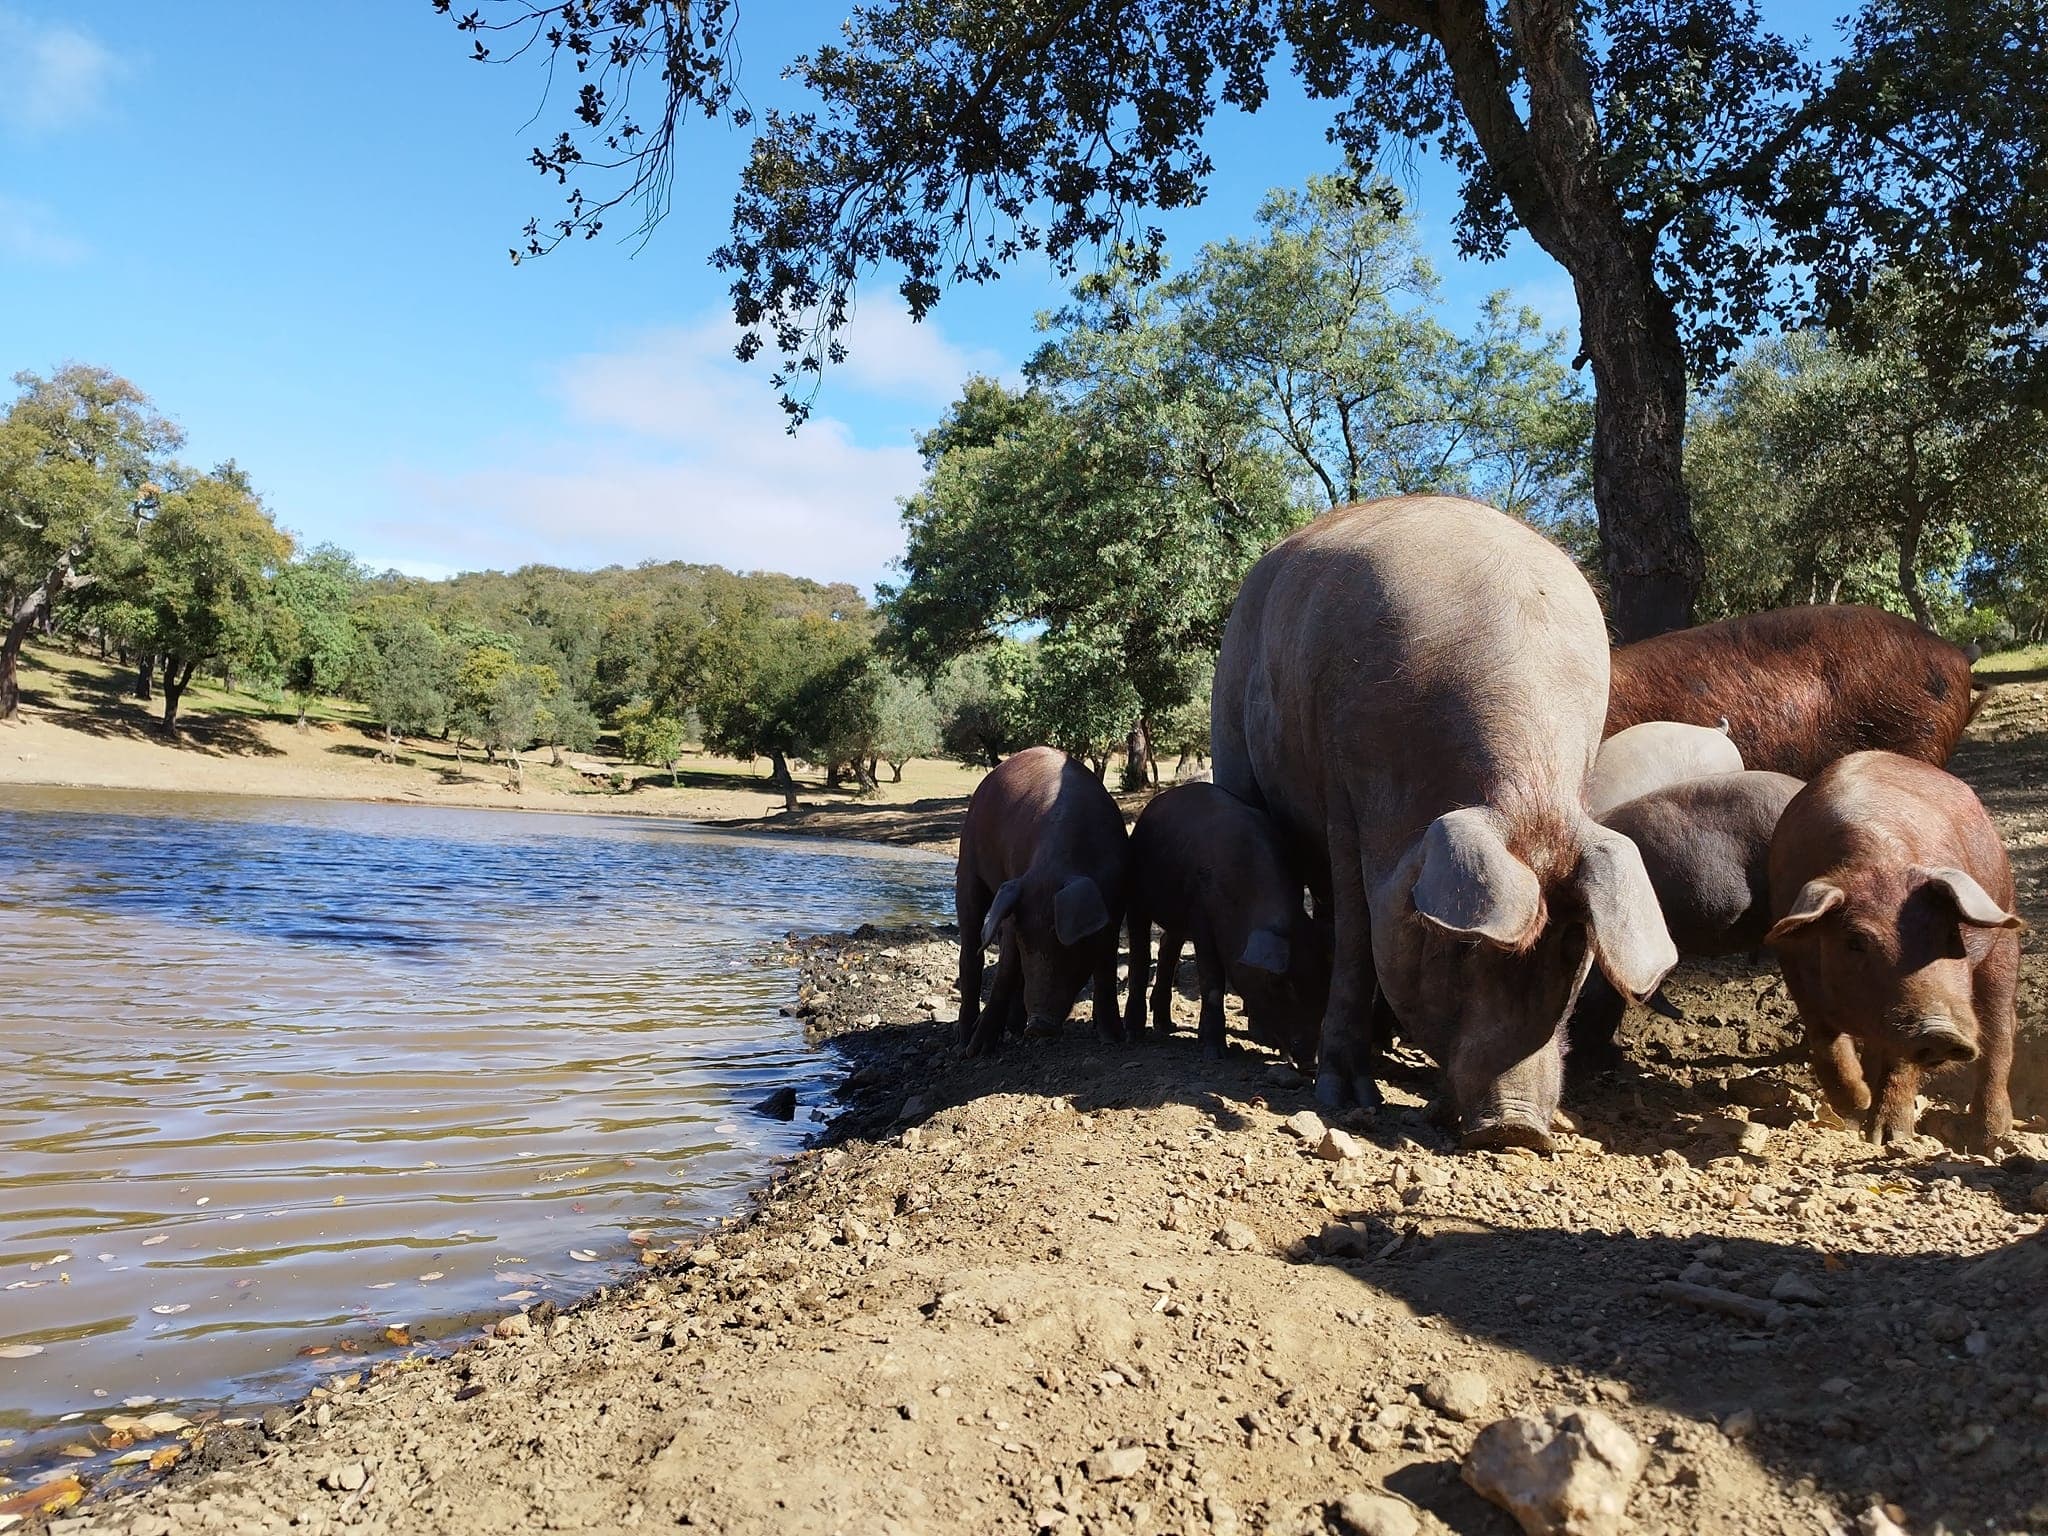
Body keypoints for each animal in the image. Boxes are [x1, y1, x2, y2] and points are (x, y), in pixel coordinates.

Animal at [954, 746, 1129, 1056]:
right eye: (1027, 942)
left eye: (1068, 944)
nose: (1039, 1025)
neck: (1055, 868)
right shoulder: (1015, 905)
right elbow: (1006, 970)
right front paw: (979, 1050)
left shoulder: (1115, 907)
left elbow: (1106, 968)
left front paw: (1114, 1039)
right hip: (969, 863)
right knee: (971, 946)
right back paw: (964, 1044)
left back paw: (1014, 1028)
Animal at [1123, 781, 1329, 1066]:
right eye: (1280, 984)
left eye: (1324, 984)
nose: (1312, 1063)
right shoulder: (1200, 914)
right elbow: (1212, 980)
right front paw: (1214, 1052)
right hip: (1136, 894)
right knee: (1140, 953)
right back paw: (1134, 1034)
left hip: (1176, 917)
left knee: (1167, 946)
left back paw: (1166, 1026)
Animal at [1212, 495, 1678, 1149]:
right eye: (1461, 947)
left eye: (1573, 944)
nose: (1517, 1128)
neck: (1527, 796)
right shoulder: (1345, 796)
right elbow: (1356, 938)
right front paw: (1345, 1099)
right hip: (1231, 738)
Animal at [1765, 751, 2023, 1149]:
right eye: (1855, 942)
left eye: (1950, 934)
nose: (1941, 1031)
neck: (1877, 861)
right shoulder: (1795, 970)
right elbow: (1826, 1043)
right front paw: (1856, 1107)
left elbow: (1900, 1060)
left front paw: (1888, 1138)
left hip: (2002, 935)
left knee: (1999, 1029)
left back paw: (1988, 1136)